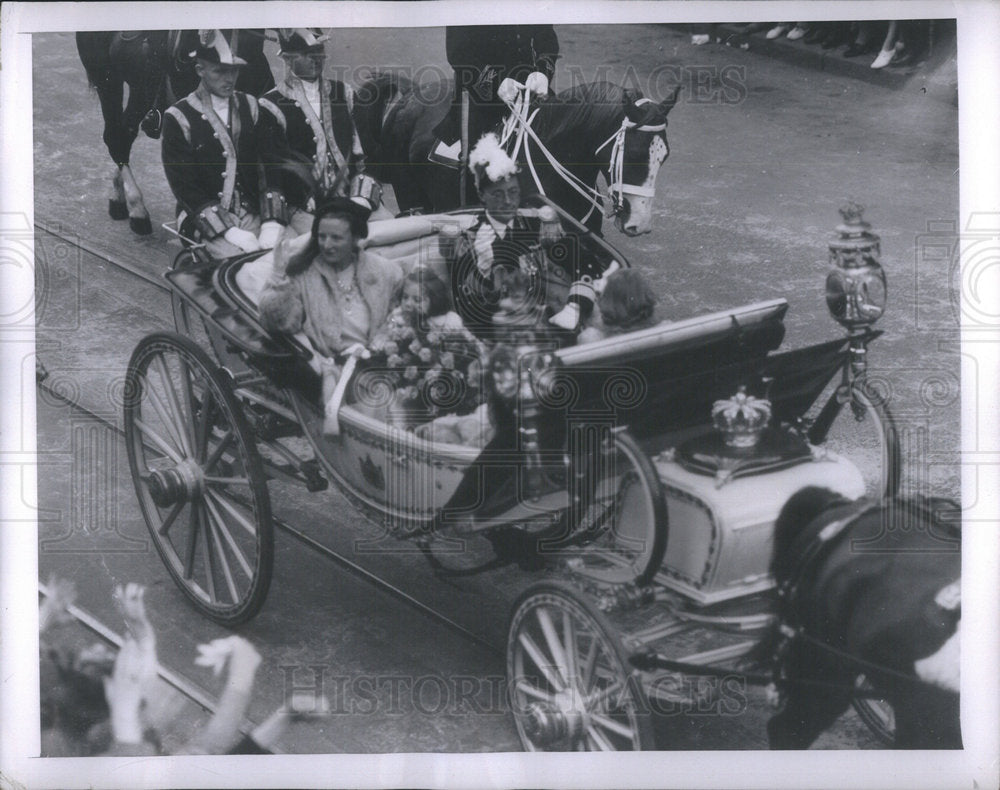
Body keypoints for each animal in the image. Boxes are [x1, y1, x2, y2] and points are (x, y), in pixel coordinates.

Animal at [76, 28, 276, 238]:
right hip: (107, 79)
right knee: (117, 137)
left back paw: (118, 195)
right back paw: (137, 209)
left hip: (138, 91)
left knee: (124, 131)